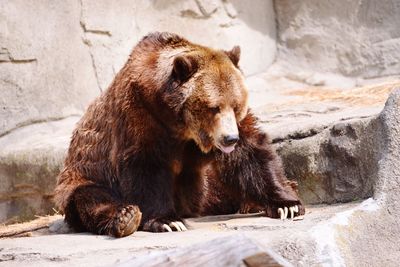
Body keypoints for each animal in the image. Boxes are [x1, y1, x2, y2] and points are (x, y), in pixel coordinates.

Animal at [52, 31, 304, 239]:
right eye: (214, 107)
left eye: (236, 105)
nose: (230, 138)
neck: (180, 124)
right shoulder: (141, 115)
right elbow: (146, 166)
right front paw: (167, 221)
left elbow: (250, 154)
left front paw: (287, 204)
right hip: (81, 175)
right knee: (90, 197)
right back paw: (126, 216)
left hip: (207, 184)